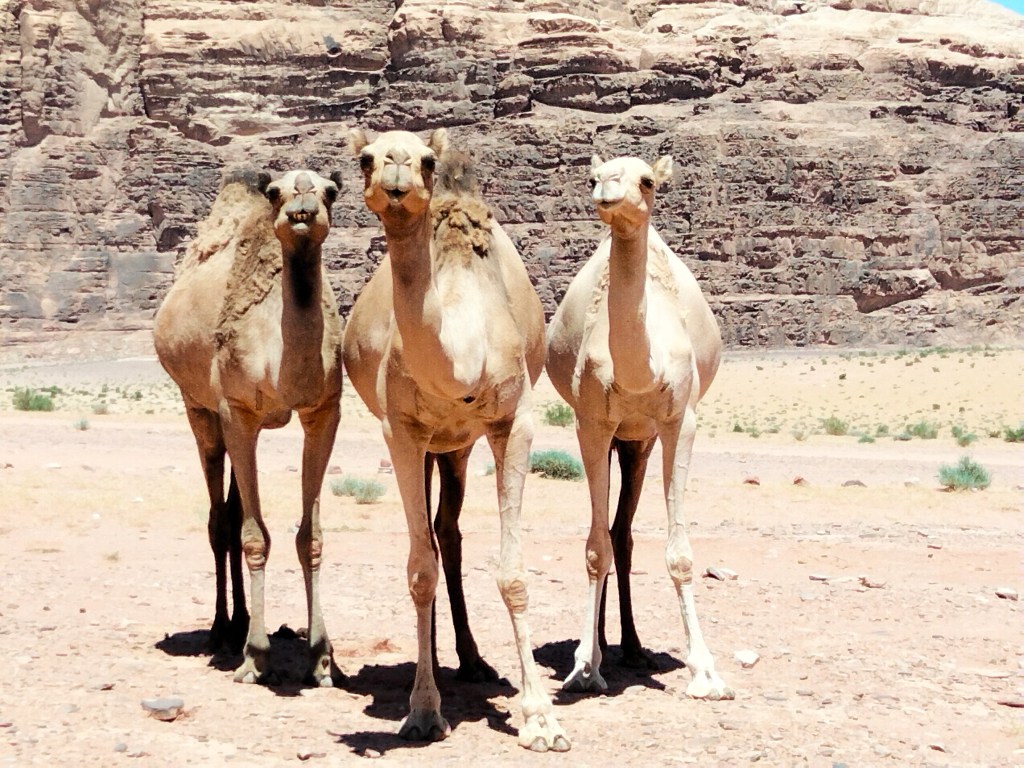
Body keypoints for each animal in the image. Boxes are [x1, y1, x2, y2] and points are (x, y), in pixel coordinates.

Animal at [153, 167, 345, 687]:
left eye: (331, 191)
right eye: (276, 192)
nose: (302, 207)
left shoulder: (324, 412)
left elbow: (310, 537)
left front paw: (321, 657)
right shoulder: (236, 410)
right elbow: (253, 536)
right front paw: (256, 656)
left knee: (235, 509)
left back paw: (240, 621)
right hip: (200, 410)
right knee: (221, 519)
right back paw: (223, 629)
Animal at [342, 128, 569, 752]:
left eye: (425, 159)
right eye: (365, 158)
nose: (396, 172)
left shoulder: (513, 421)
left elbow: (513, 572)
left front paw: (540, 718)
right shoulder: (401, 430)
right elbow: (419, 569)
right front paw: (422, 710)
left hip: (459, 446)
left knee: (451, 530)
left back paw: (472, 660)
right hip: (431, 445)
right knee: (435, 538)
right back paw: (442, 664)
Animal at [545, 154, 734, 701]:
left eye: (647, 181)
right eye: (592, 177)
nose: (608, 192)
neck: (638, 370)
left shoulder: (678, 421)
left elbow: (680, 553)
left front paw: (705, 672)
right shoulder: (591, 423)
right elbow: (594, 549)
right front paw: (585, 666)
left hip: (640, 441)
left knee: (624, 535)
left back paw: (631, 646)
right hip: (619, 438)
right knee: (611, 537)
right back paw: (607, 647)